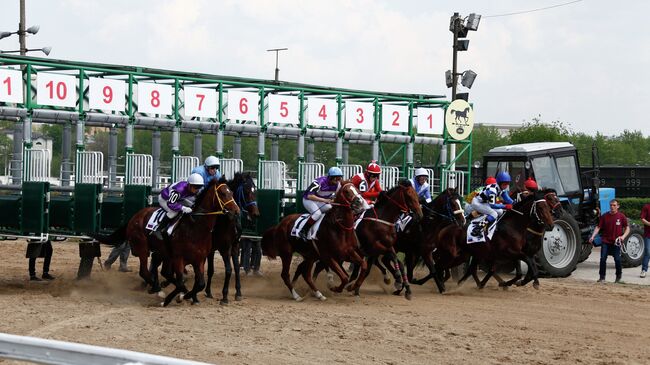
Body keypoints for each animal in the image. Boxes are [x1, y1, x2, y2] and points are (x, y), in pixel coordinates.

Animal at [206, 172, 260, 302]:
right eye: (246, 191)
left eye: (255, 190)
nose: (256, 213)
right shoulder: (223, 248)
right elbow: (225, 269)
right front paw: (223, 295)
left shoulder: (235, 246)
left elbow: (236, 268)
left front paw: (238, 292)